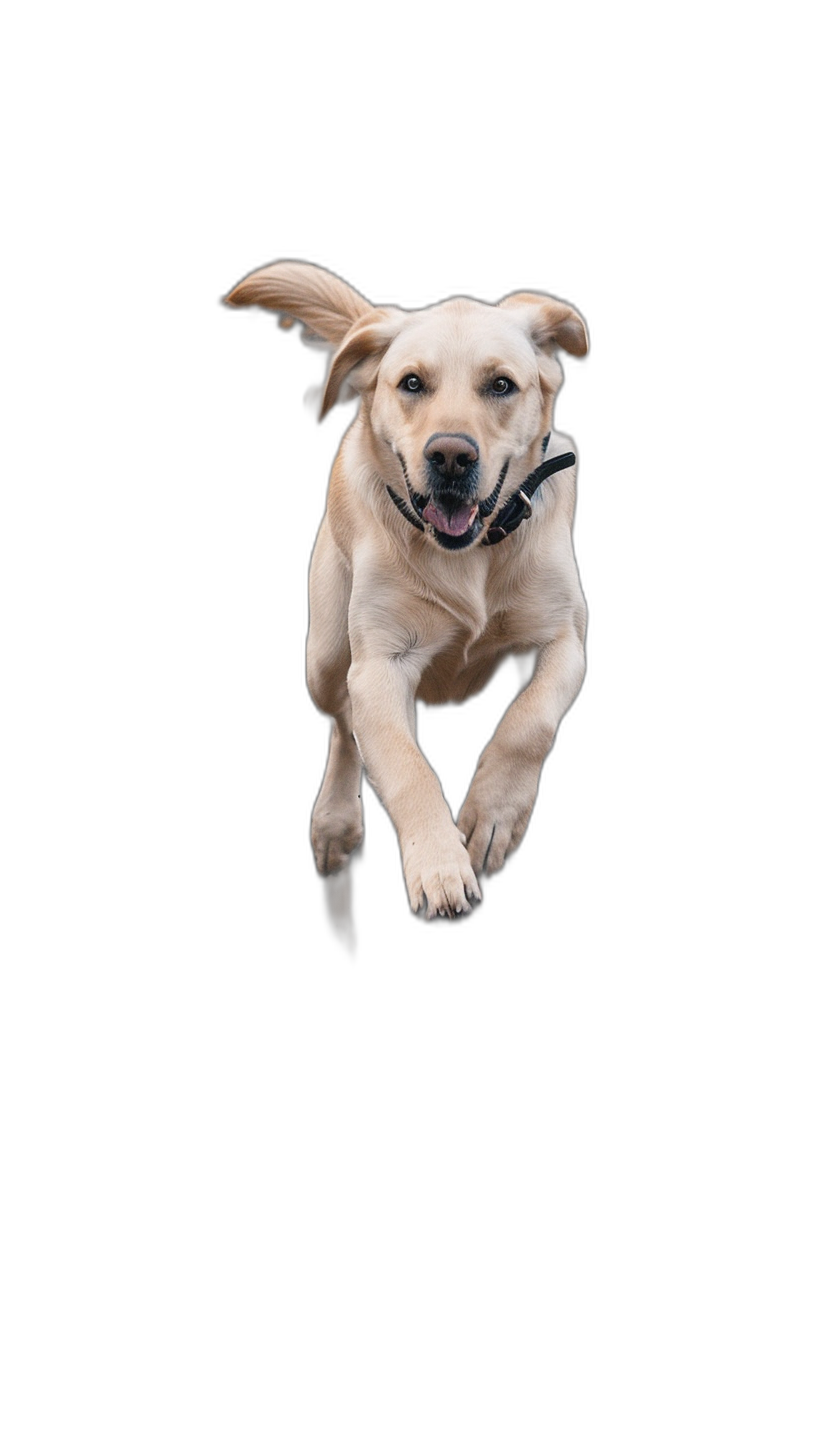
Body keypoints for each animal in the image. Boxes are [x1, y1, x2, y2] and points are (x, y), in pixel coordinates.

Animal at [227, 262, 585, 920]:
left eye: (502, 385)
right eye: (412, 383)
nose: (450, 455)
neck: (470, 555)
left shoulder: (565, 640)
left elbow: (530, 722)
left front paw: (494, 817)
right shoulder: (378, 668)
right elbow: (408, 770)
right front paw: (439, 867)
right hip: (325, 656)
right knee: (345, 728)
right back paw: (335, 822)